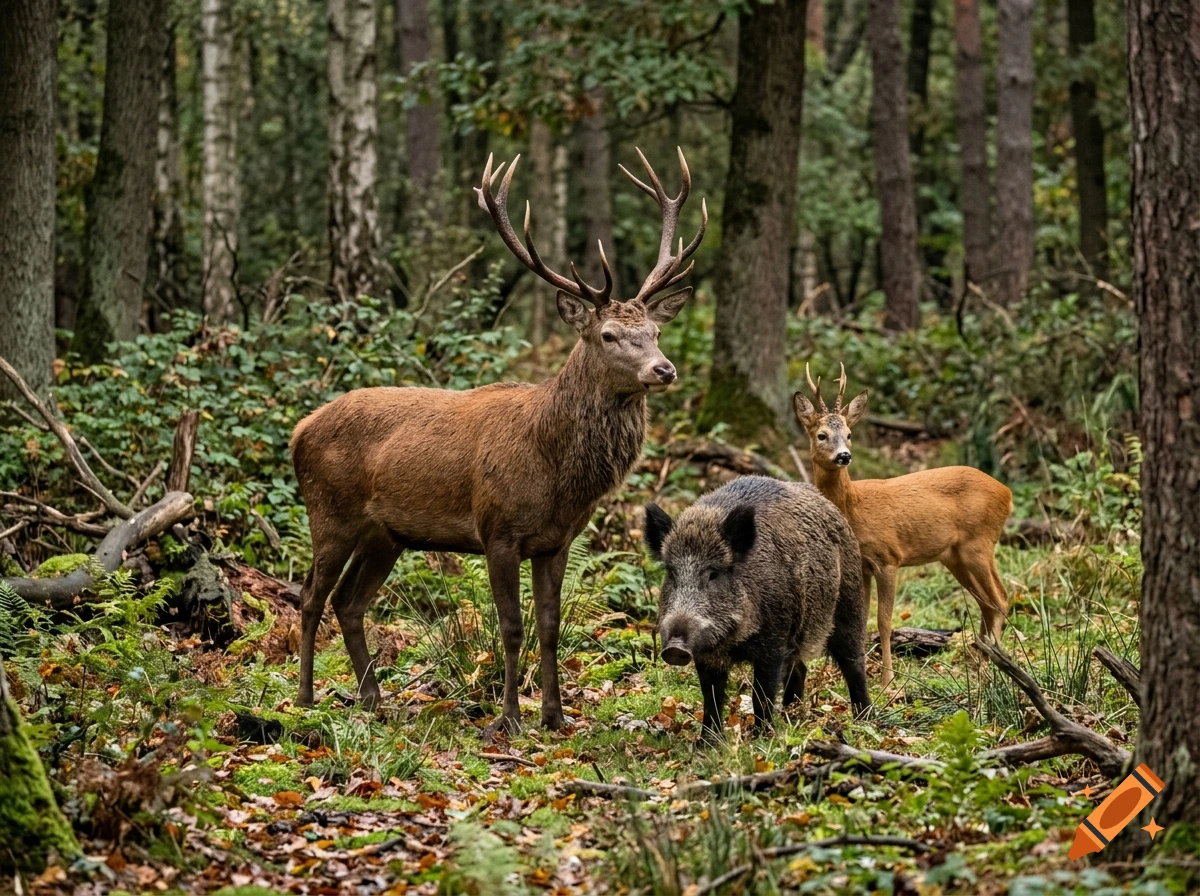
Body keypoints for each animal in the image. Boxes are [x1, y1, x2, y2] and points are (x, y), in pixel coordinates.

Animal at [290, 148, 706, 735]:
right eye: (608, 335)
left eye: (655, 332)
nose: (663, 369)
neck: (554, 469)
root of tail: (300, 430)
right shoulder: (498, 531)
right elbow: (511, 626)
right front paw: (507, 718)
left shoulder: (557, 541)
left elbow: (550, 626)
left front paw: (555, 716)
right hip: (330, 511)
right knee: (310, 595)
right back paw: (305, 697)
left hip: (385, 534)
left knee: (349, 602)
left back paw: (373, 698)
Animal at [644, 475, 870, 740]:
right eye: (671, 572)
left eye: (713, 574)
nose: (675, 648)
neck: (733, 641)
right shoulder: (706, 655)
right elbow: (711, 697)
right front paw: (707, 743)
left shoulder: (773, 643)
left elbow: (761, 694)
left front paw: (761, 737)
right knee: (799, 669)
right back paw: (791, 716)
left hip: (849, 603)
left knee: (853, 662)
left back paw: (865, 720)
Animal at [793, 364, 1012, 689]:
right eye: (822, 435)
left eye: (849, 434)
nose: (844, 455)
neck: (854, 508)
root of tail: (1007, 494)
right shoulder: (862, 565)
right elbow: (863, 620)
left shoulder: (888, 558)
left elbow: (884, 621)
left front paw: (887, 681)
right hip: (955, 556)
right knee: (987, 603)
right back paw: (984, 668)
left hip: (980, 543)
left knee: (1000, 599)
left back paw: (990, 674)